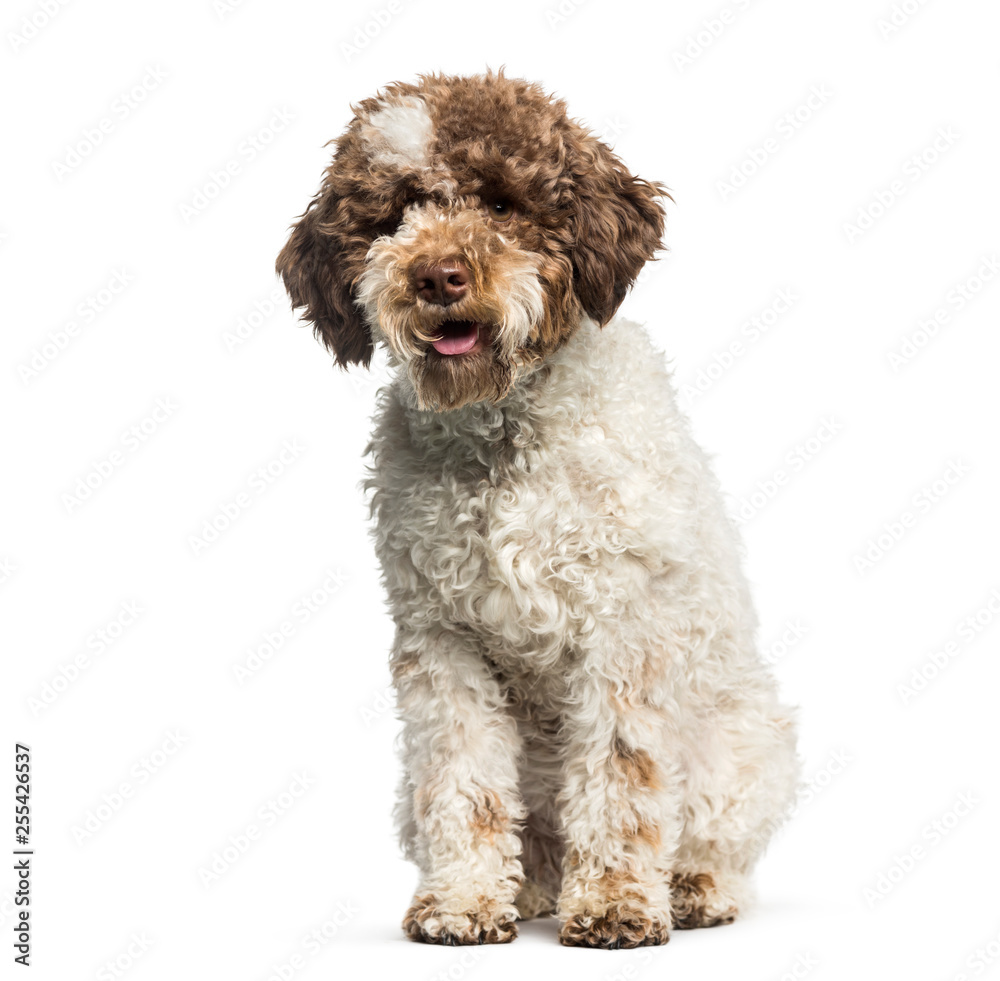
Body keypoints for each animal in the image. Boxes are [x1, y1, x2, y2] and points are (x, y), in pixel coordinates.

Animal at [278, 71, 800, 948]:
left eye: (500, 202)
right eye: (393, 215)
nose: (438, 276)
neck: (502, 440)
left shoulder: (622, 634)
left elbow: (622, 774)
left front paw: (619, 900)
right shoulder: (442, 642)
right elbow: (464, 780)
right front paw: (462, 898)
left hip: (747, 746)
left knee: (712, 837)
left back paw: (691, 887)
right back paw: (529, 889)